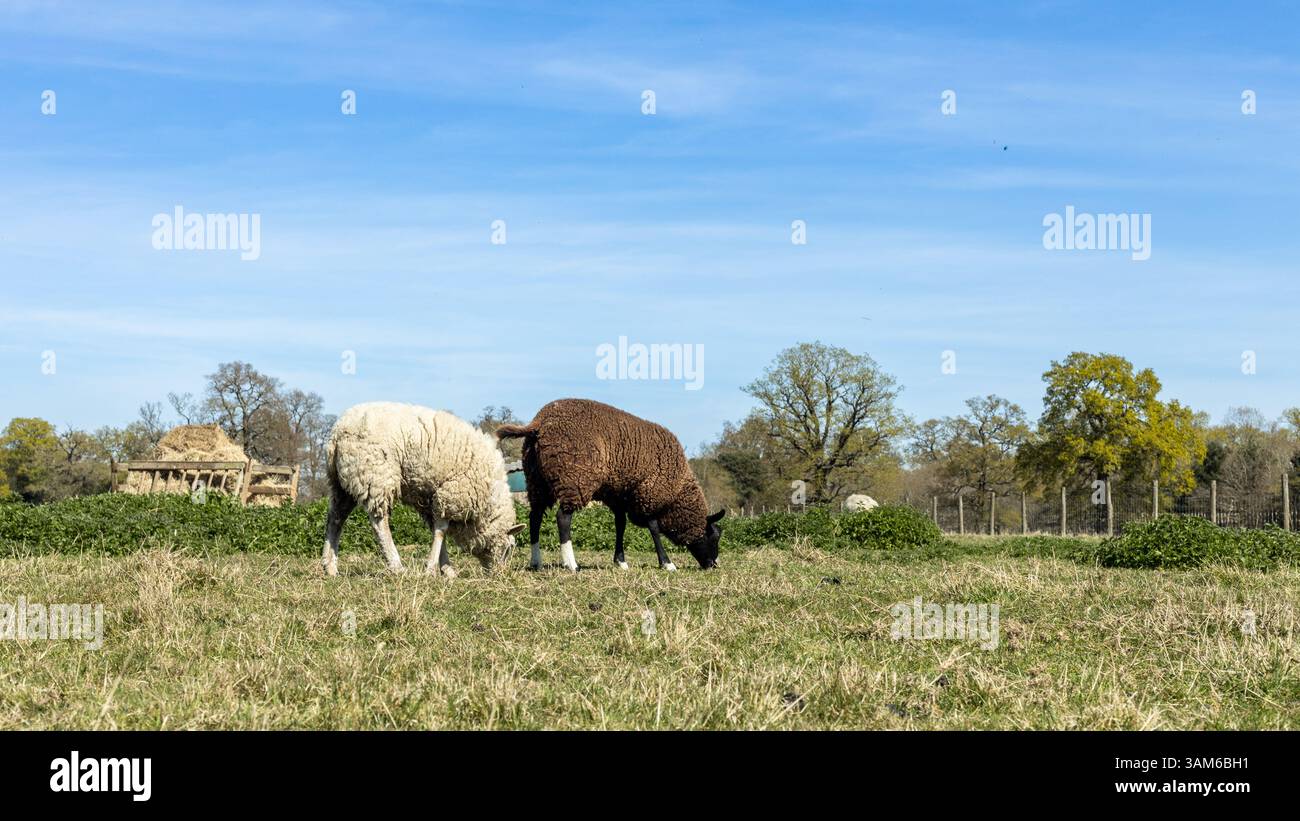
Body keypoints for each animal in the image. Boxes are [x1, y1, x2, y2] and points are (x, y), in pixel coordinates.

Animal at [323, 402, 524, 577]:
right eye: (509, 548)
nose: (500, 575)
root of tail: (337, 433)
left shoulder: (432, 497)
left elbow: (436, 529)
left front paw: (446, 569)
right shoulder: (451, 495)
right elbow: (441, 531)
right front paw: (433, 569)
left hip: (343, 482)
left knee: (335, 519)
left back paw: (330, 567)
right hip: (376, 476)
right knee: (379, 522)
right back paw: (396, 566)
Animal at [496, 398, 724, 572]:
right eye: (714, 536)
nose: (713, 565)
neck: (677, 492)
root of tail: (539, 422)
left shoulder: (619, 496)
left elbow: (620, 525)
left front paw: (621, 561)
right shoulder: (648, 493)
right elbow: (653, 528)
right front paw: (667, 563)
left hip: (536, 481)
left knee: (534, 518)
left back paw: (536, 562)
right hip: (574, 478)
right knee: (563, 518)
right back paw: (571, 564)